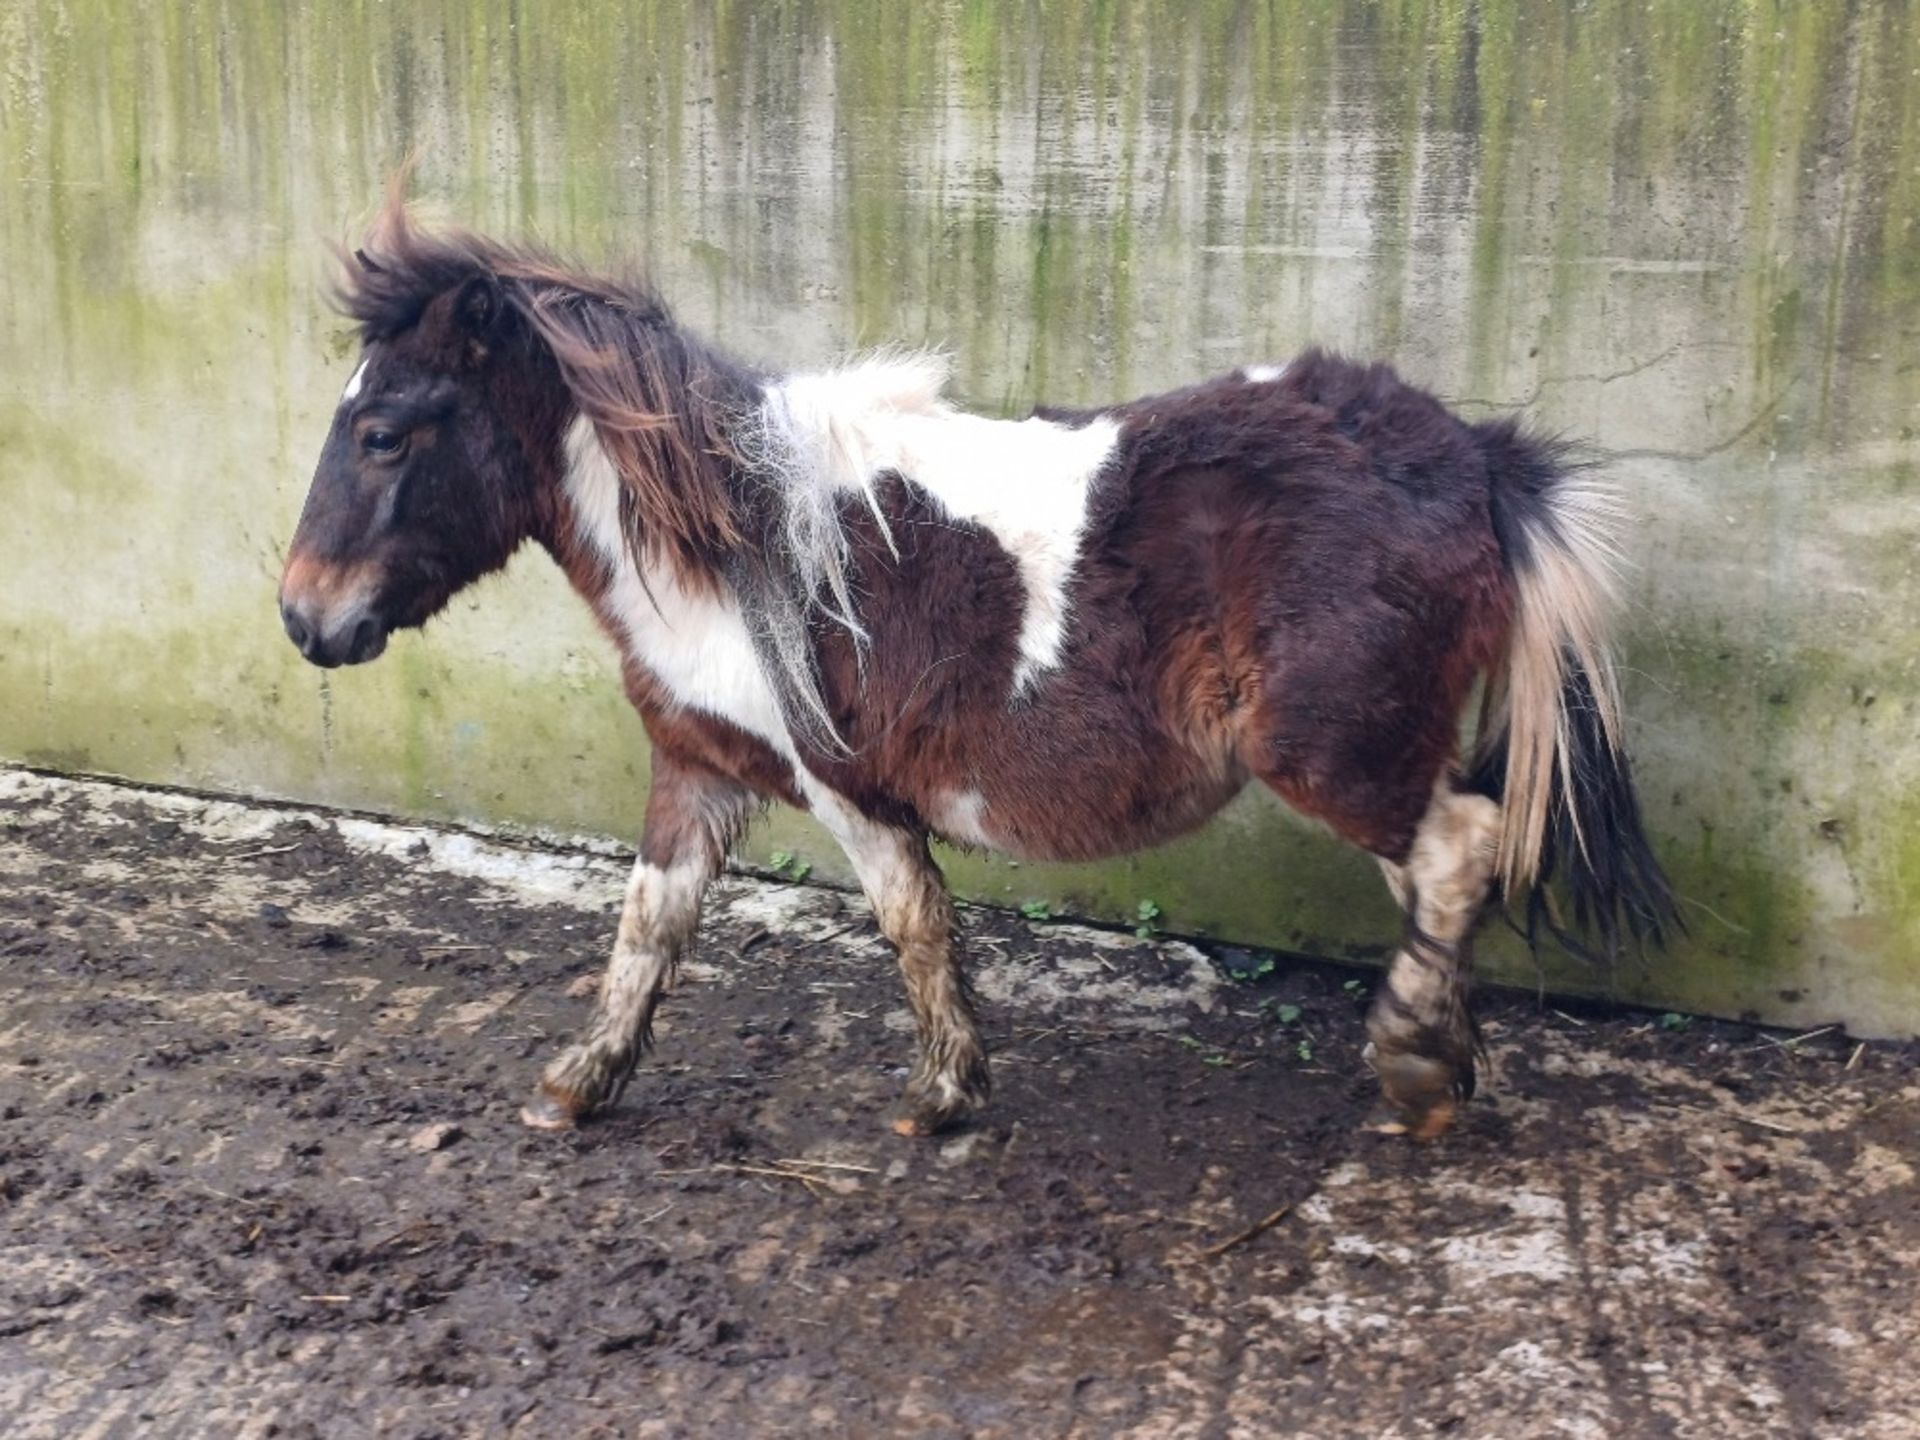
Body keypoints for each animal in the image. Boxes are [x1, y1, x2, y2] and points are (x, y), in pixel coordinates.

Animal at [278, 197, 1674, 1144]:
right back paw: (1447, 1057)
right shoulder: (696, 771)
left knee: (1461, 852)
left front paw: (944, 1093)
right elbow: (646, 925)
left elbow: (912, 921)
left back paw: (1415, 1066)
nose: (301, 618)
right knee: (1454, 879)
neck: (734, 540)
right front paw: (580, 1082)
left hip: (1343, 756)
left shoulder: (842, 786)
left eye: (384, 431)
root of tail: (1465, 457)